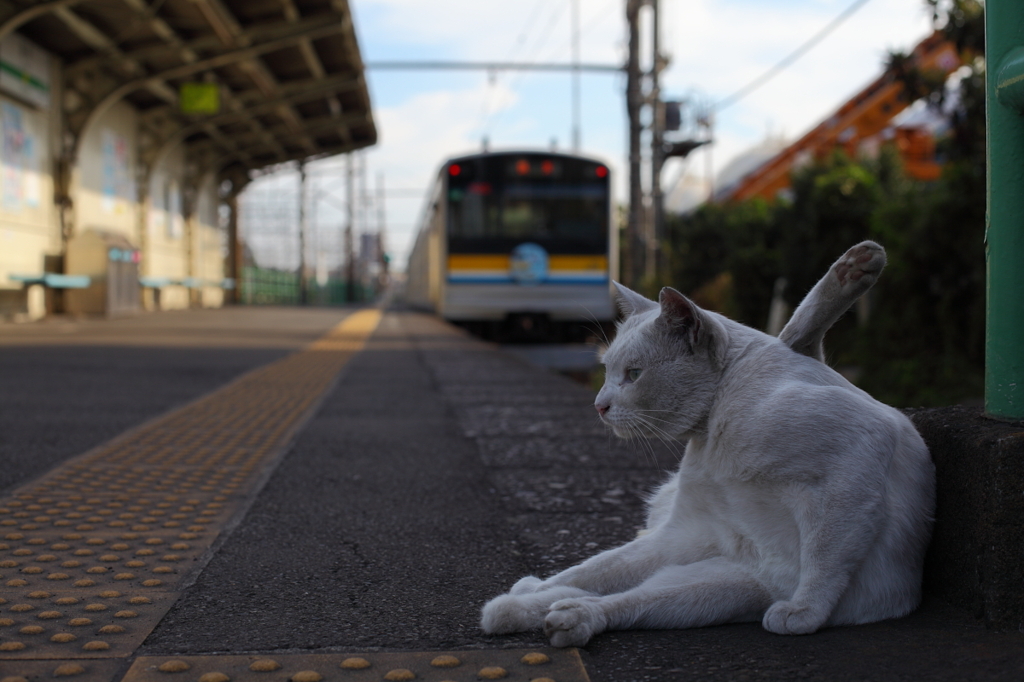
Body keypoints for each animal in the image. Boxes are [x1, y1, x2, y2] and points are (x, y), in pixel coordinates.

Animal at [479, 241, 937, 647]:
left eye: (633, 374)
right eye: (606, 371)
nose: (599, 404)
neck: (712, 430)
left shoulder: (858, 446)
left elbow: (826, 555)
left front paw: (804, 612)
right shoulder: (684, 531)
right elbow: (589, 569)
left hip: (716, 588)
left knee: (617, 599)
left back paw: (567, 617)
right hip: (686, 561)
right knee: (591, 579)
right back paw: (519, 604)